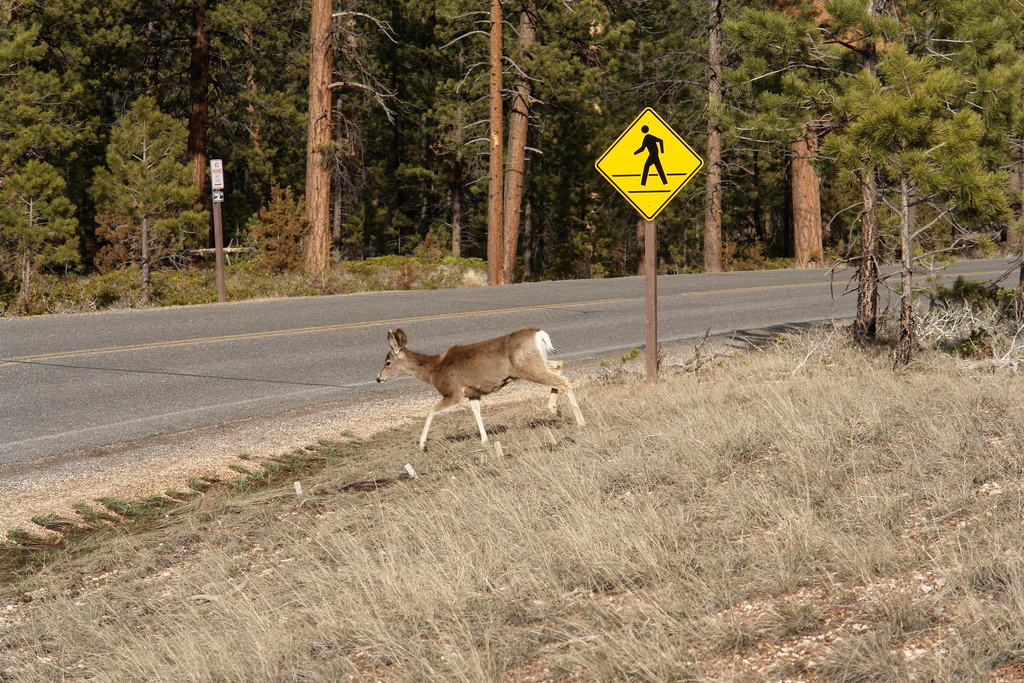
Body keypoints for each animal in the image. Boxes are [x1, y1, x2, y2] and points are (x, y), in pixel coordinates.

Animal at [376, 325, 585, 448]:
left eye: (387, 362)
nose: (378, 379)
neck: (434, 370)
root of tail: (539, 333)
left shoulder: (453, 392)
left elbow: (431, 411)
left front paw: (422, 443)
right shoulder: (473, 393)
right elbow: (476, 411)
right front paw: (484, 439)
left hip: (528, 367)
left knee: (563, 381)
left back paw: (580, 421)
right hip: (535, 363)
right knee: (559, 365)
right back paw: (555, 409)